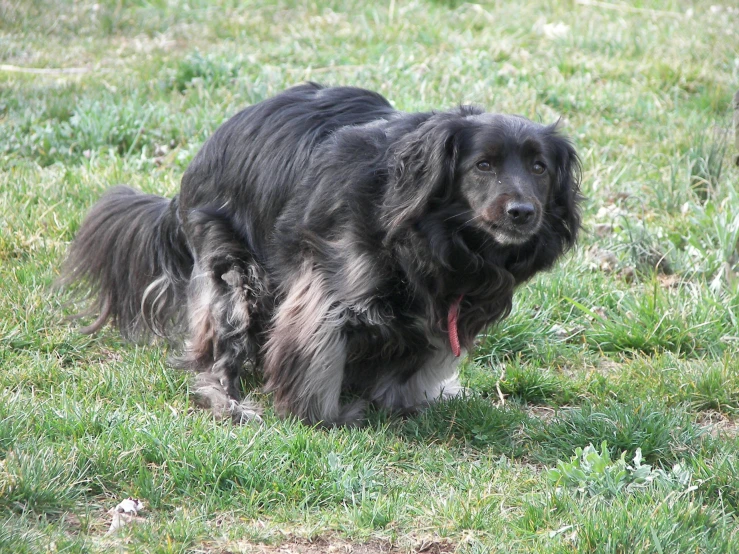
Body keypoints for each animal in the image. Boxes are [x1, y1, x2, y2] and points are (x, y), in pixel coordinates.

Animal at [62, 82, 584, 424]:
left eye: (539, 167)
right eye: (483, 165)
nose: (523, 212)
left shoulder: (436, 317)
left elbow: (409, 367)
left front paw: (403, 404)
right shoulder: (328, 291)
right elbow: (315, 363)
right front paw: (325, 416)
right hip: (234, 273)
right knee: (215, 356)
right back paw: (231, 403)